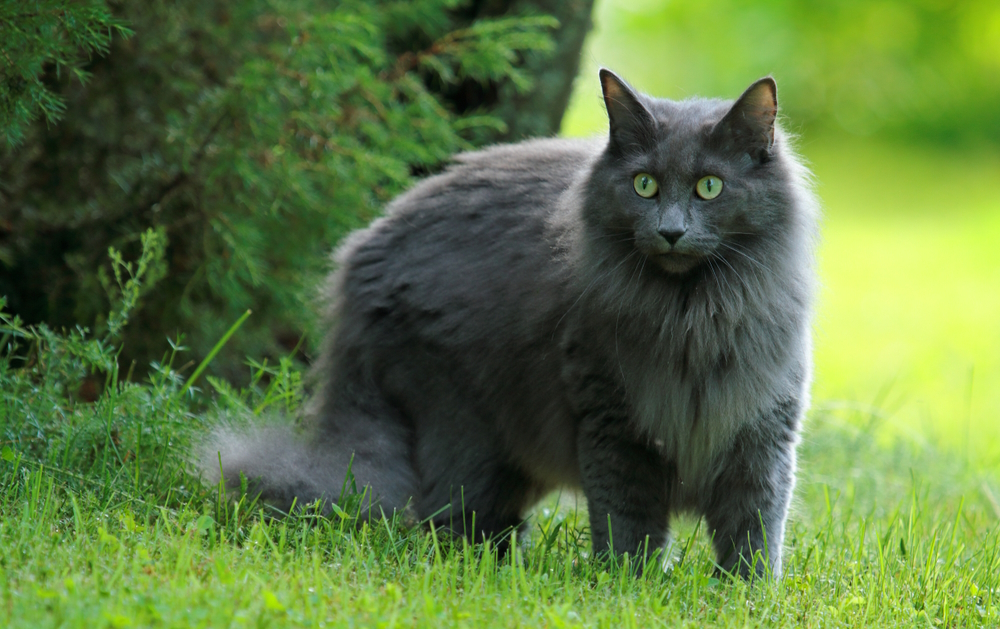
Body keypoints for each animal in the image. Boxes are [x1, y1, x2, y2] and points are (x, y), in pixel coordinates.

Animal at [199, 68, 816, 580]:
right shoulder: (611, 424)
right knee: (450, 519)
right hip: (462, 428)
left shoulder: (763, 429)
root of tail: (357, 265)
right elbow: (628, 523)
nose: (670, 231)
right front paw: (630, 585)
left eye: (709, 187)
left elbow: (755, 527)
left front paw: (747, 594)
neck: (693, 316)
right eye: (645, 185)